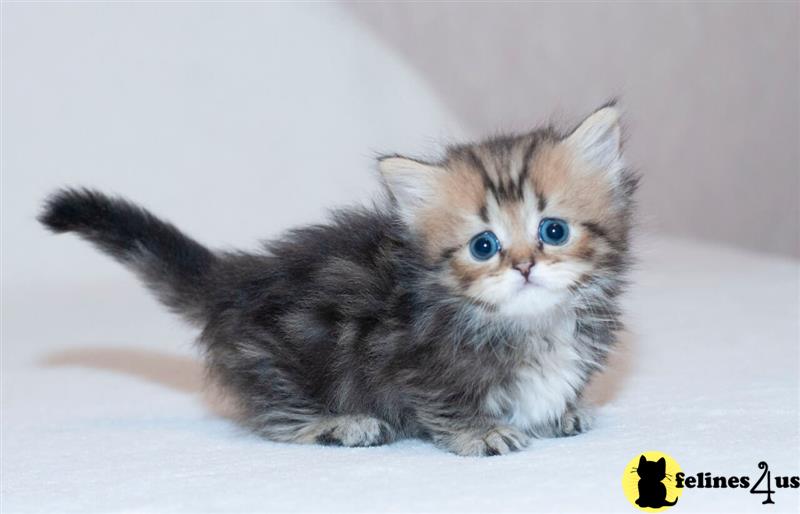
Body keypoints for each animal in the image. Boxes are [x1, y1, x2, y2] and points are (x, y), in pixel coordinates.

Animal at [39, 105, 636, 456]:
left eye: (553, 230)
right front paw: (481, 431)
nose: (525, 266)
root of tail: (239, 279)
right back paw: (341, 425)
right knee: (272, 416)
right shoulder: (412, 363)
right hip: (281, 362)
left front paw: (563, 411)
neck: (528, 323)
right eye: (483, 246)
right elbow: (448, 403)